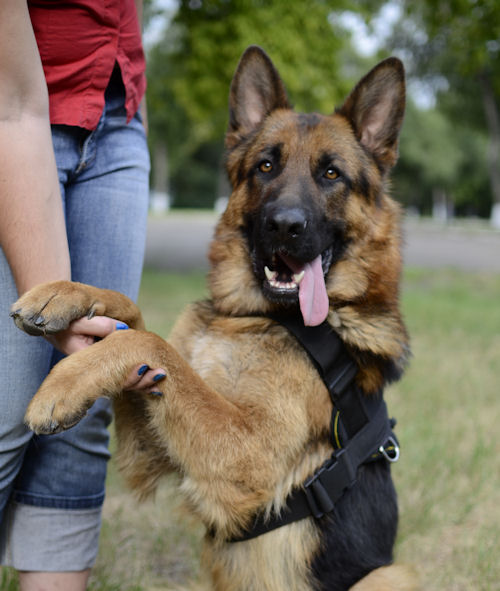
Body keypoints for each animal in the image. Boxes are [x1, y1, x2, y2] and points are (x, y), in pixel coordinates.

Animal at [13, 47, 416, 591]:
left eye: (332, 175)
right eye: (266, 166)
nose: (284, 226)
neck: (250, 315)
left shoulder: (246, 459)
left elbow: (151, 342)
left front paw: (63, 382)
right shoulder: (153, 448)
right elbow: (134, 317)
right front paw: (63, 295)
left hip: (391, 574)